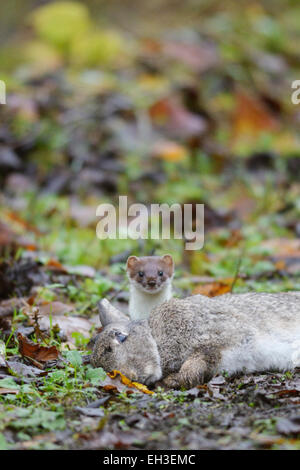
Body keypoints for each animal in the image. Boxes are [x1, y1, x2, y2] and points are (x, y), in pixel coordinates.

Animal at [91, 292, 300, 392]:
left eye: (121, 336)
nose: (129, 377)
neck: (156, 336)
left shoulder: (216, 340)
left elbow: (194, 366)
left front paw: (168, 382)